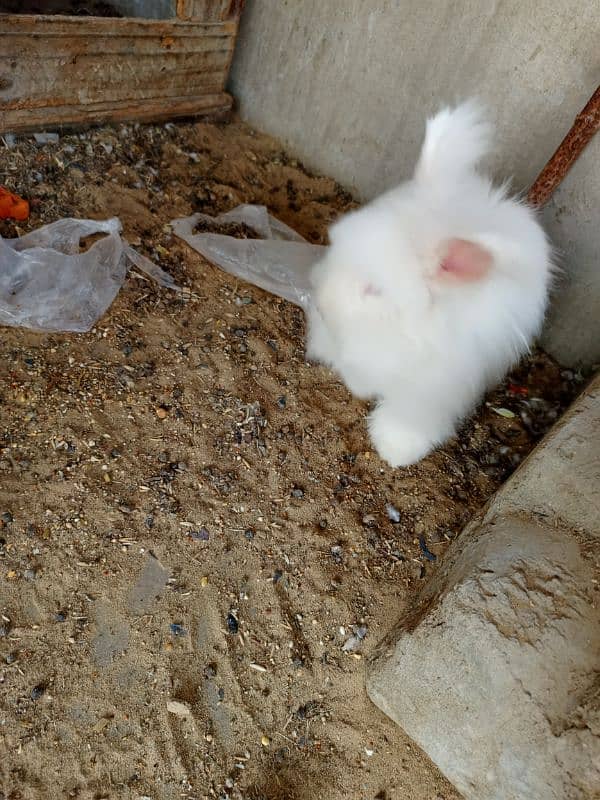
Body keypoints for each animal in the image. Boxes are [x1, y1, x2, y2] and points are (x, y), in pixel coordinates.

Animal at [308, 102, 556, 466]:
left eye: (375, 290)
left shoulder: (433, 390)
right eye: (336, 246)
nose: (322, 306)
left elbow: (409, 418)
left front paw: (394, 449)